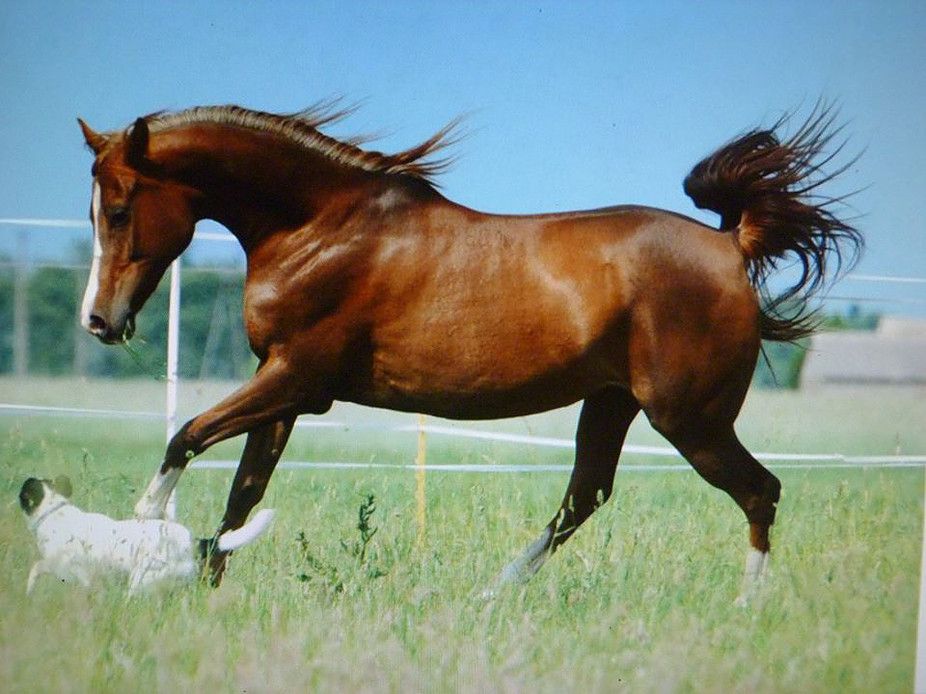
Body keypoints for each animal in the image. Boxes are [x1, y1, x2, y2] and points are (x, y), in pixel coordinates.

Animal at [76, 102, 860, 598]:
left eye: (118, 208)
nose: (99, 321)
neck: (321, 228)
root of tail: (733, 245)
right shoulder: (282, 390)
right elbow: (243, 491)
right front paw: (207, 584)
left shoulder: (297, 380)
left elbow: (185, 436)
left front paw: (143, 537)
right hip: (612, 404)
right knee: (583, 498)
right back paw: (491, 595)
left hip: (690, 418)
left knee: (759, 492)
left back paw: (747, 607)